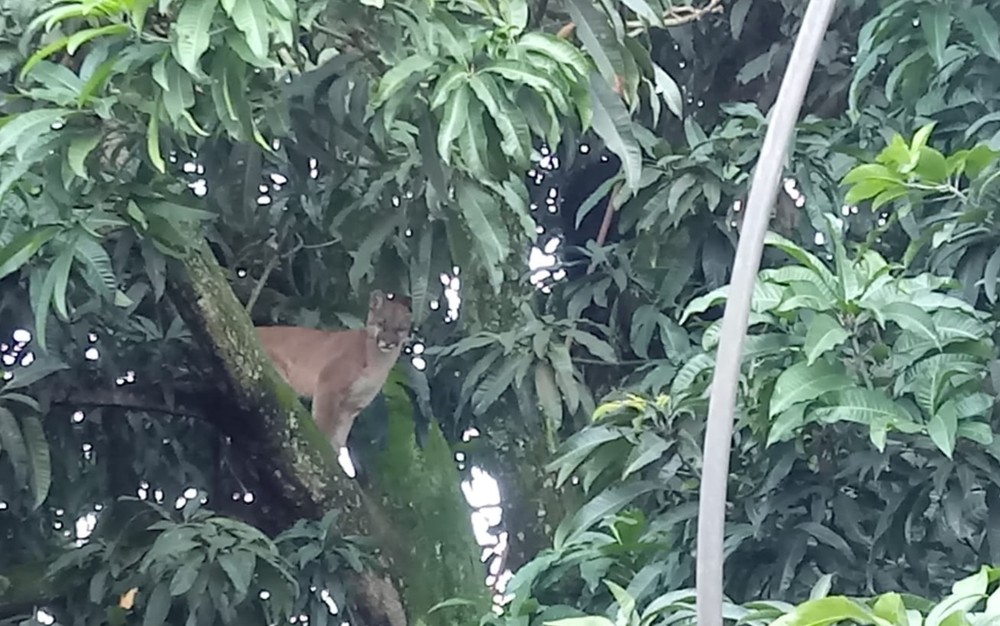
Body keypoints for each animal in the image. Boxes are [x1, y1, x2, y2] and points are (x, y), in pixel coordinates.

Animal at [258, 288, 414, 448]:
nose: (388, 343)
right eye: (382, 323)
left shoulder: (351, 407)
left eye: (400, 329)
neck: (378, 361)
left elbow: (339, 438)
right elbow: (323, 425)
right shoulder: (329, 385)